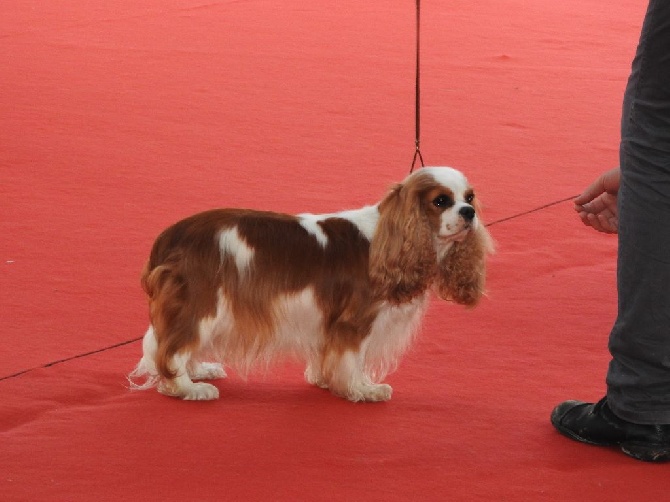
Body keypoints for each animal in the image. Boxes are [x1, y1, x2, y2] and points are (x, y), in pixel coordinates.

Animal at [129, 167, 494, 402]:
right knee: (172, 349)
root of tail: (170, 237)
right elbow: (354, 358)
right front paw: (362, 389)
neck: (391, 237)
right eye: (441, 201)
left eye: (470, 197)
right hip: (201, 303)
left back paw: (200, 371)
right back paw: (188, 388)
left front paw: (326, 380)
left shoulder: (329, 322)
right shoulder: (355, 321)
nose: (468, 212)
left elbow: (329, 355)